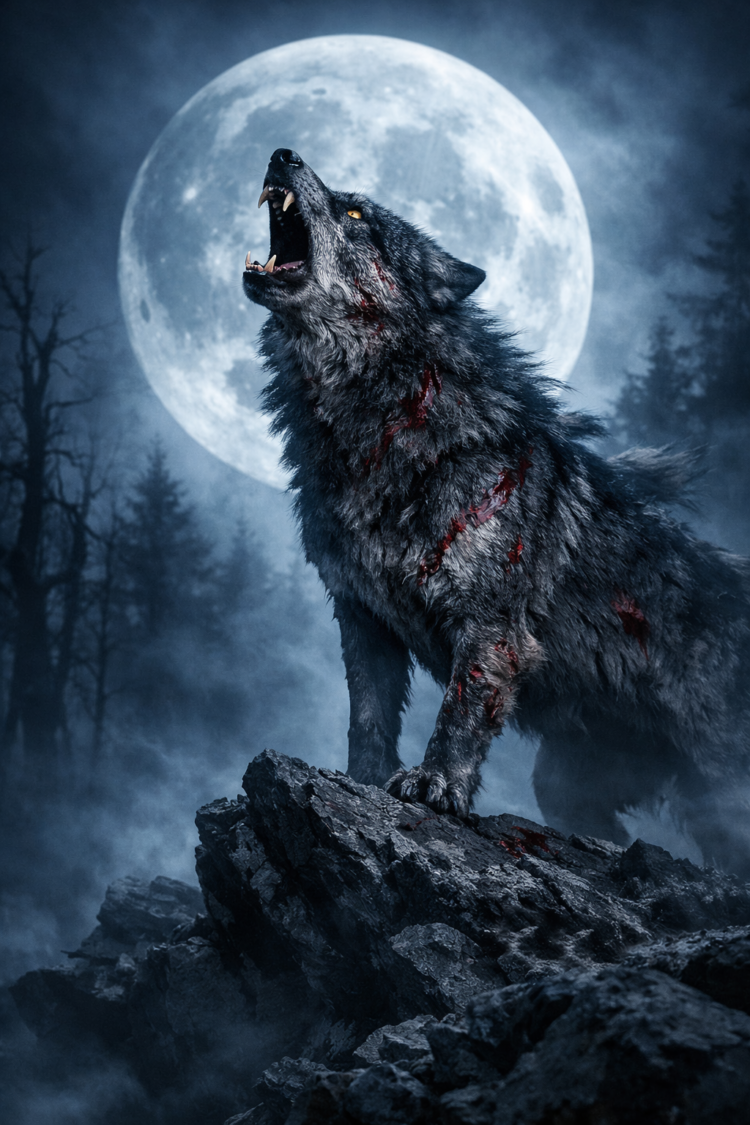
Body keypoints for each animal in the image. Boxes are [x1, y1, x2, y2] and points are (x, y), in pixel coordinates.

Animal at [243, 147, 750, 877]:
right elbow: (367, 719)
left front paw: (434, 785)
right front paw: (359, 783)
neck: (386, 430)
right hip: (566, 783)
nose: (284, 153)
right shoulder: (363, 617)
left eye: (358, 213)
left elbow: (459, 712)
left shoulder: (489, 626)